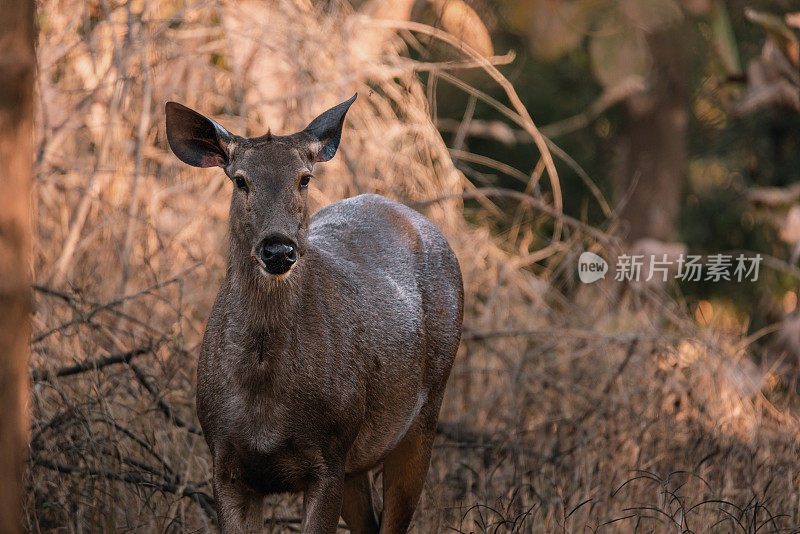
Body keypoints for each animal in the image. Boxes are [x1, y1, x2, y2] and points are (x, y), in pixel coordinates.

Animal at [164, 93, 462, 534]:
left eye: (304, 178)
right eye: (240, 180)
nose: (278, 248)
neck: (264, 402)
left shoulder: (329, 452)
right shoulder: (224, 460)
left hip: (425, 411)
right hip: (358, 461)